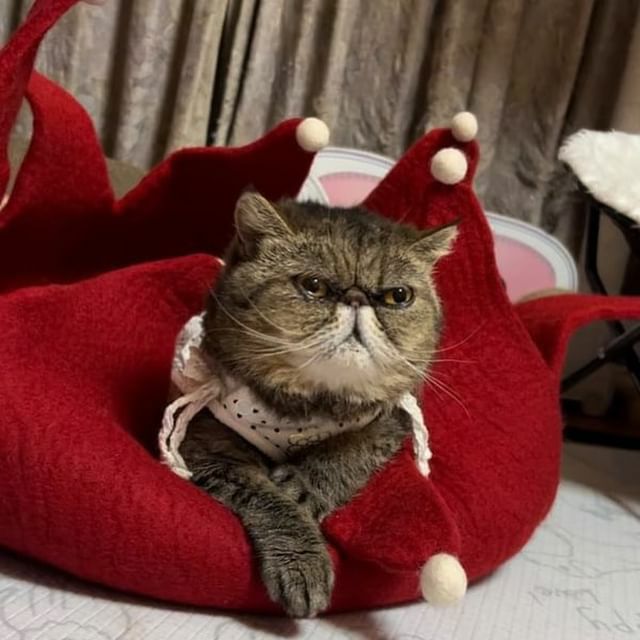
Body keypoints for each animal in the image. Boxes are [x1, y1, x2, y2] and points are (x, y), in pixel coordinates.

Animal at [178, 192, 457, 617]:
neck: (312, 405)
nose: (357, 297)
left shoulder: (387, 421)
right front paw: (302, 560)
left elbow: (349, 451)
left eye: (398, 295)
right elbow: (270, 501)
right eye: (313, 285)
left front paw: (305, 482)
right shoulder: (209, 444)